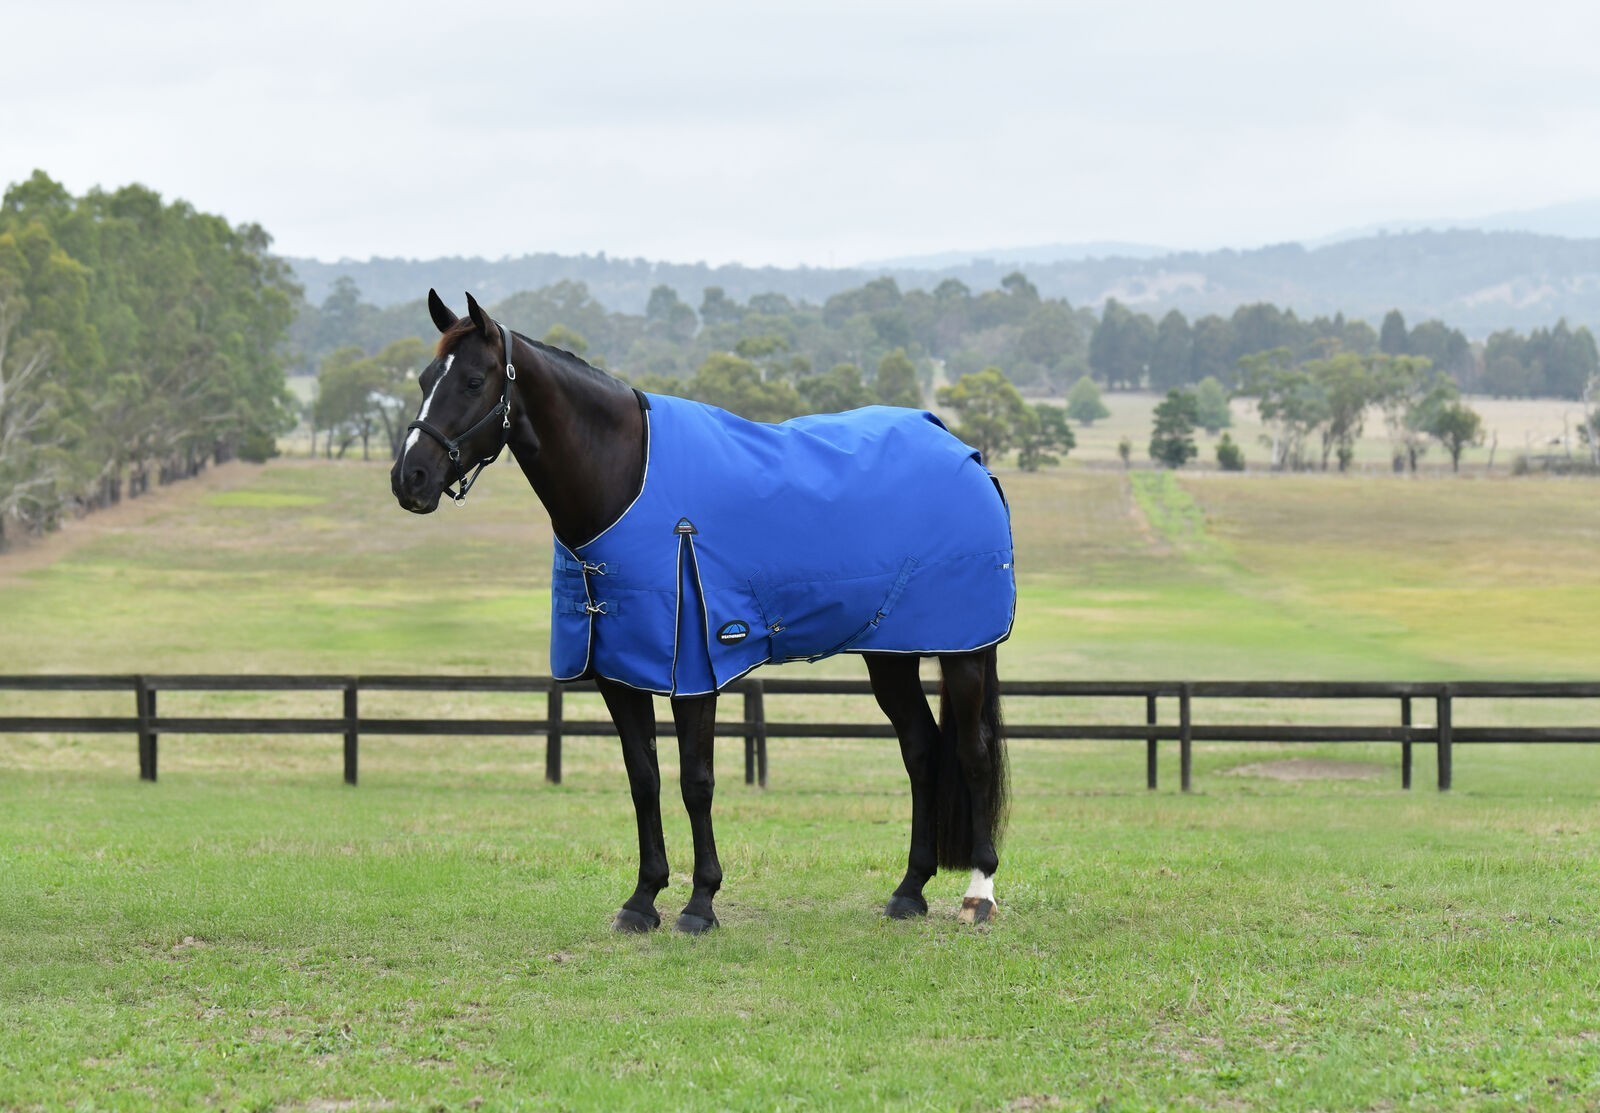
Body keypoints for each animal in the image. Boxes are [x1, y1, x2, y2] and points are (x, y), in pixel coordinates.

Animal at [391, 290, 1015, 933]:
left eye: (472, 380)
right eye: (424, 380)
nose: (409, 478)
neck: (624, 480)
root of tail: (967, 454)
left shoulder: (694, 669)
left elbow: (696, 781)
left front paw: (700, 903)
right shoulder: (619, 672)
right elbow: (644, 779)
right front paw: (642, 899)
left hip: (964, 650)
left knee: (972, 752)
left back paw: (979, 893)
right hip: (890, 653)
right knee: (921, 749)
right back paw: (909, 891)